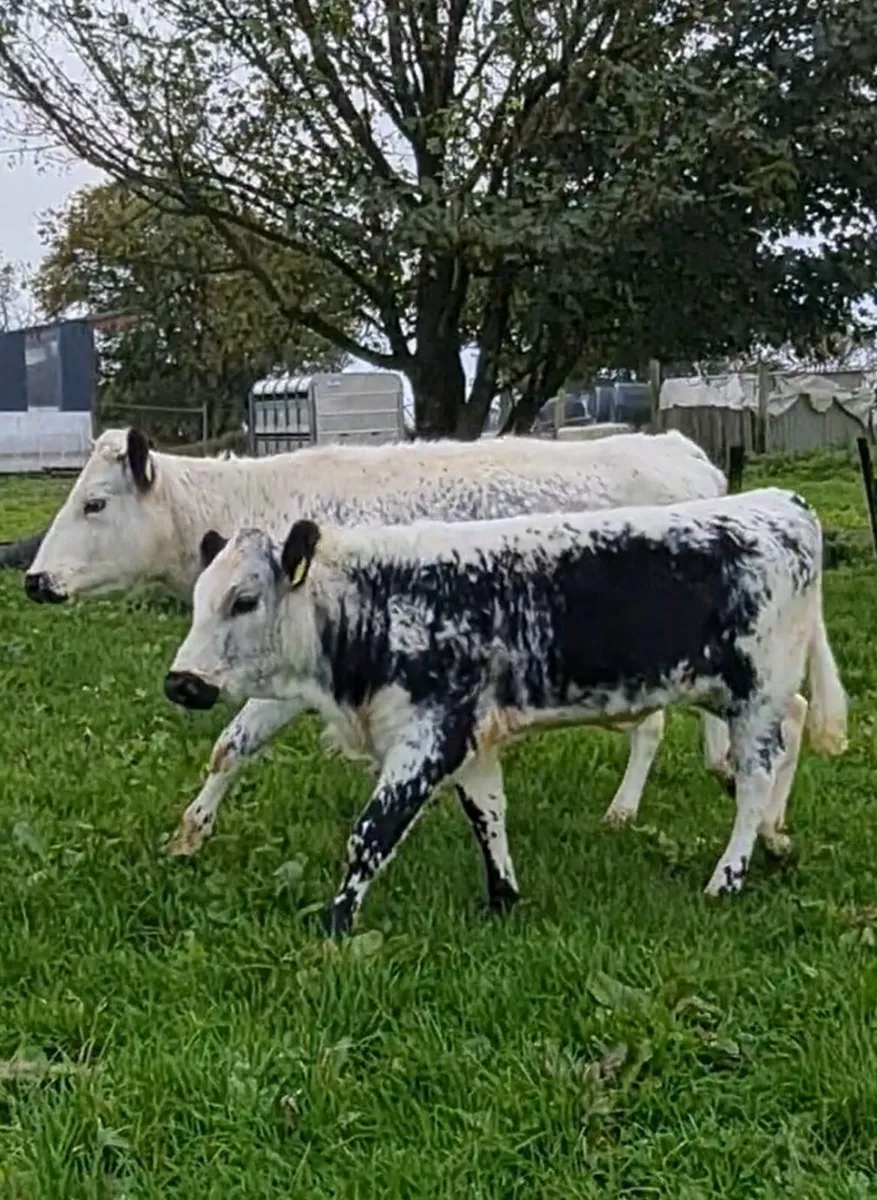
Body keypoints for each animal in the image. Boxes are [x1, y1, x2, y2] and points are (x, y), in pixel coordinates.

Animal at [25, 425, 731, 855]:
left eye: (94, 503)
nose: (33, 580)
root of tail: (680, 449)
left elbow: (238, 740)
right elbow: (231, 748)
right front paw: (188, 836)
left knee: (652, 727)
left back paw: (625, 809)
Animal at [164, 488, 848, 936]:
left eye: (244, 599)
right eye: (197, 599)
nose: (180, 682)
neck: (381, 599)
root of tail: (780, 501)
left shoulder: (431, 734)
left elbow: (371, 831)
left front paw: (333, 929)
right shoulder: (470, 733)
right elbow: (487, 811)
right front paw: (503, 898)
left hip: (756, 691)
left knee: (754, 777)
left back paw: (727, 876)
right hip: (747, 692)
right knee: (791, 727)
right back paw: (775, 839)